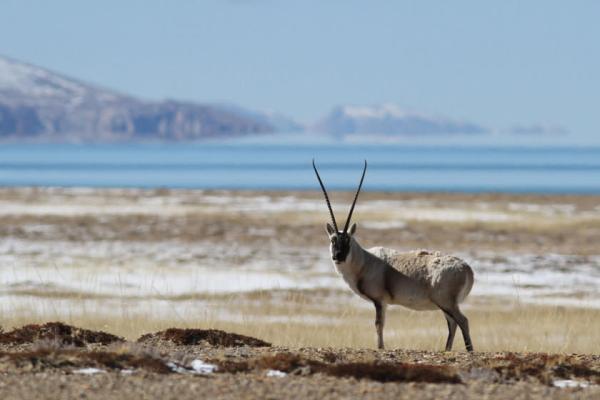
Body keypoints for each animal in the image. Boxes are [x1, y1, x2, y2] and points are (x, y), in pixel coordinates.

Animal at [314, 161, 474, 352]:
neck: (364, 261)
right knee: (452, 323)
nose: (337, 256)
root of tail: (467, 269)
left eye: (348, 240)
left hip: (446, 302)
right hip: (445, 305)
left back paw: (469, 350)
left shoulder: (379, 300)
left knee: (462, 321)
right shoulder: (383, 303)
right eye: (333, 240)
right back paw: (446, 350)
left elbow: (378, 324)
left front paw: (380, 347)